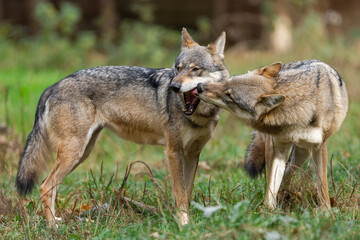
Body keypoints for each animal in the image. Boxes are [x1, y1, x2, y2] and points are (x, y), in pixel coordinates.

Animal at [15, 28, 229, 227]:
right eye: (178, 68)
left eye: (195, 69)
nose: (173, 87)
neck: (200, 115)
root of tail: (53, 86)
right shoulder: (173, 152)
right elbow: (180, 194)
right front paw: (183, 224)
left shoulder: (193, 154)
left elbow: (187, 191)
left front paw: (189, 222)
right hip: (74, 153)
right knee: (45, 185)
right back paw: (53, 226)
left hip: (82, 153)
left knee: (51, 185)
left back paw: (56, 220)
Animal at [197, 60, 348, 210]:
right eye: (228, 81)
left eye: (230, 96)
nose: (199, 87)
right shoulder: (279, 148)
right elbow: (271, 187)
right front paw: (267, 210)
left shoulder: (319, 146)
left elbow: (322, 185)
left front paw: (325, 211)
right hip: (277, 149)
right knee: (282, 173)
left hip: (303, 152)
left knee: (289, 170)